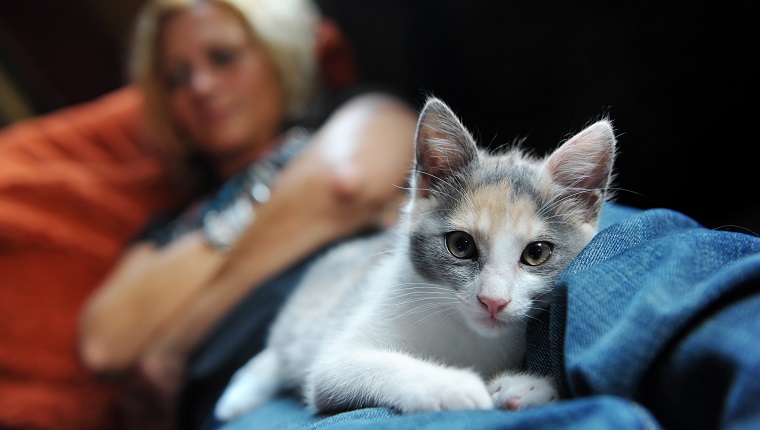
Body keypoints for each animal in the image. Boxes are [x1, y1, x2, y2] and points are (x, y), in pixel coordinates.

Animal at [215, 95, 616, 420]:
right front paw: (453, 386)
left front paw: (529, 387)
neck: (468, 334)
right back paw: (238, 395)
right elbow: (357, 367)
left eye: (536, 253)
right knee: (279, 349)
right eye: (460, 245)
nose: (493, 301)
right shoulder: (333, 361)